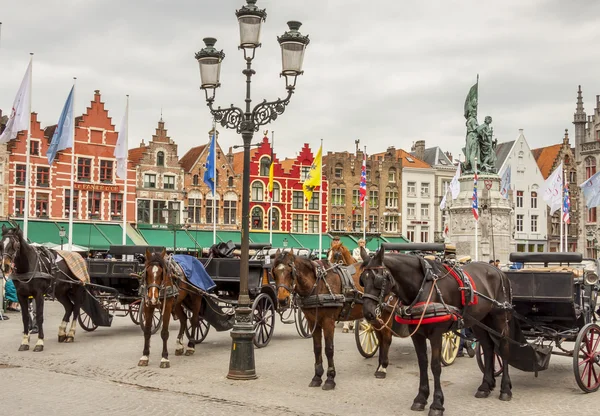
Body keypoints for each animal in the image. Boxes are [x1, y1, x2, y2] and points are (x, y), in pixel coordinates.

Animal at [0, 224, 85, 352]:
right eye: (1, 244)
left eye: (15, 245)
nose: (5, 266)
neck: (27, 266)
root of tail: (78, 255)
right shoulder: (21, 295)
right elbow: (25, 317)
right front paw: (25, 341)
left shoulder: (39, 295)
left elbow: (39, 317)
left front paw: (40, 342)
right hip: (60, 292)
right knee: (69, 307)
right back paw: (61, 333)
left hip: (76, 290)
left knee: (76, 309)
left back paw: (70, 334)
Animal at [358, 249, 512, 416]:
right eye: (362, 280)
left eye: (378, 279)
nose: (368, 314)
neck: (422, 288)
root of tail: (499, 271)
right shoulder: (417, 335)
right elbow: (423, 364)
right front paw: (420, 398)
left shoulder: (436, 334)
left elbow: (435, 366)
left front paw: (437, 404)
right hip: (479, 321)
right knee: (489, 348)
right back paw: (486, 386)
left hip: (499, 319)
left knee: (504, 347)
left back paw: (505, 389)